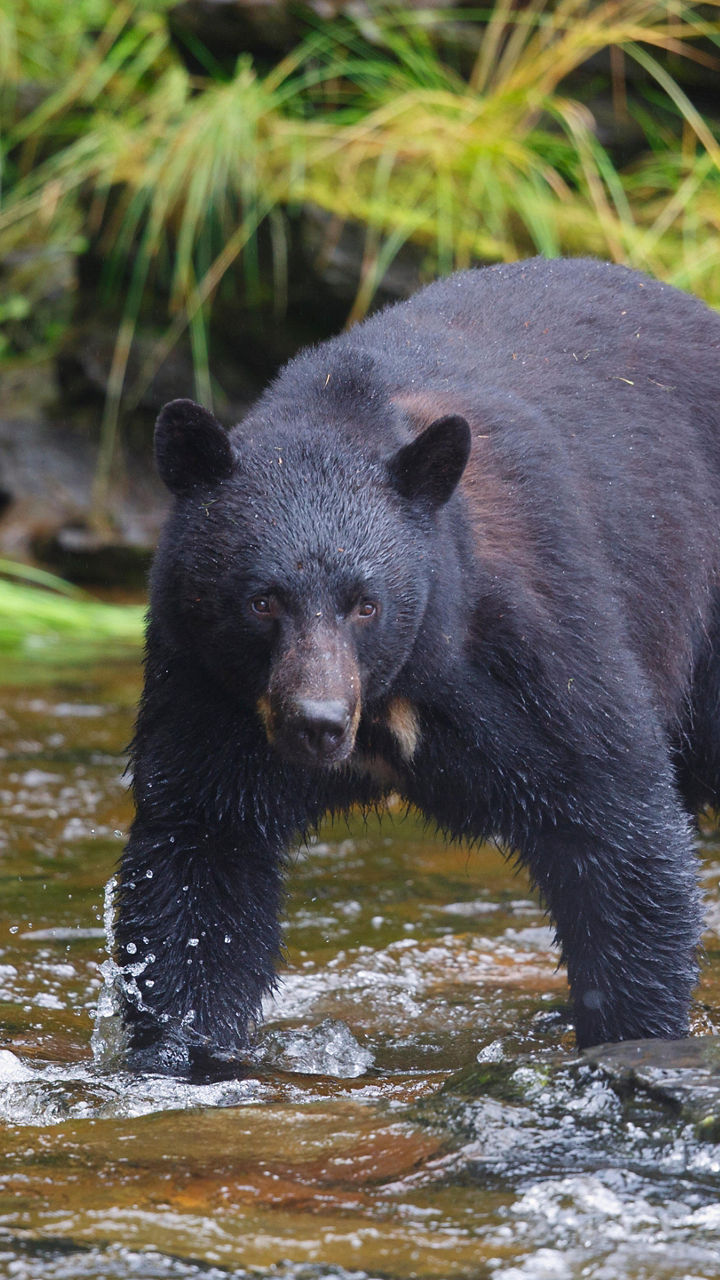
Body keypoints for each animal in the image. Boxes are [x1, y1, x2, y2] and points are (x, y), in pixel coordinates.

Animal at [115, 256, 720, 1074]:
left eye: (366, 604)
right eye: (262, 600)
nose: (317, 725)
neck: (394, 690)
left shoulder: (527, 643)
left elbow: (612, 813)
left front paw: (635, 1033)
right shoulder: (207, 687)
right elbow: (200, 857)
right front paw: (181, 1055)